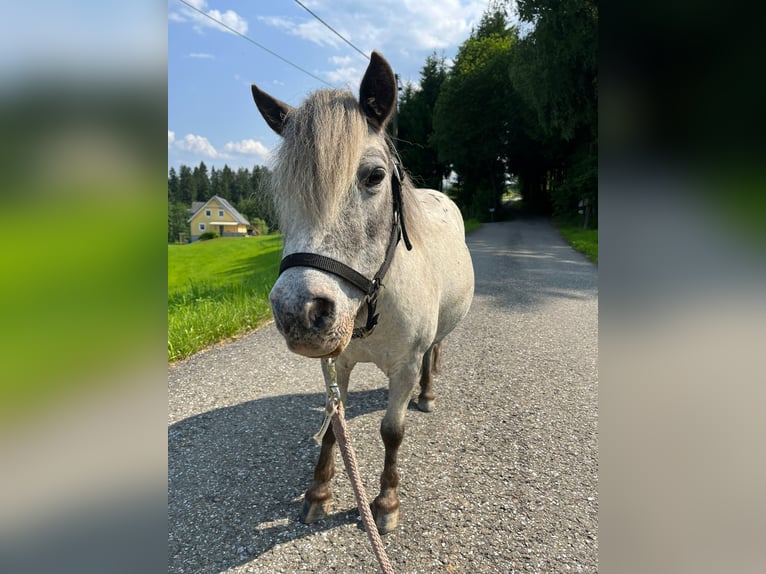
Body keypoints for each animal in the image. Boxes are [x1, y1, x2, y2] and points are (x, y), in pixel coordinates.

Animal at [254, 51, 474, 532]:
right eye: (282, 189)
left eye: (374, 176)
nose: (298, 311)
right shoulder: (336, 363)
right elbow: (332, 427)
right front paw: (318, 493)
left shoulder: (404, 367)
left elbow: (392, 431)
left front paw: (386, 502)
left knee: (434, 351)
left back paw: (427, 395)